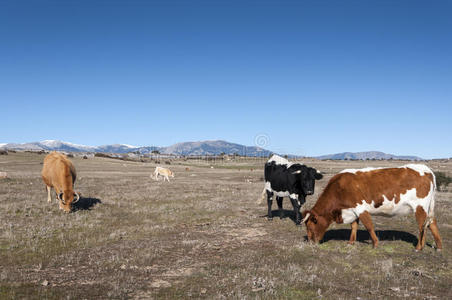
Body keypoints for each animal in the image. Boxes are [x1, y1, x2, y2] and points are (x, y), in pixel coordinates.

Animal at [304, 164, 442, 251]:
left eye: (310, 227)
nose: (310, 242)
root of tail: (426, 169)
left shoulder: (361, 208)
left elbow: (369, 226)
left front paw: (375, 244)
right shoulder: (352, 210)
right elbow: (354, 226)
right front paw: (351, 242)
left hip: (420, 207)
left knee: (422, 226)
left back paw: (419, 247)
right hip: (429, 207)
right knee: (432, 223)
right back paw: (439, 247)